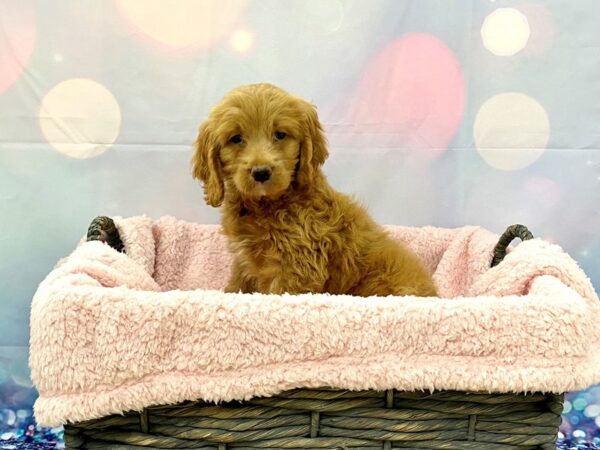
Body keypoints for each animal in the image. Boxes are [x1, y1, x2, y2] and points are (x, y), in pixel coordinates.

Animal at [192, 82, 436, 298]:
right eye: (236, 139)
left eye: (280, 135)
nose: (261, 173)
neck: (265, 205)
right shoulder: (244, 263)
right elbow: (236, 287)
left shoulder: (298, 266)